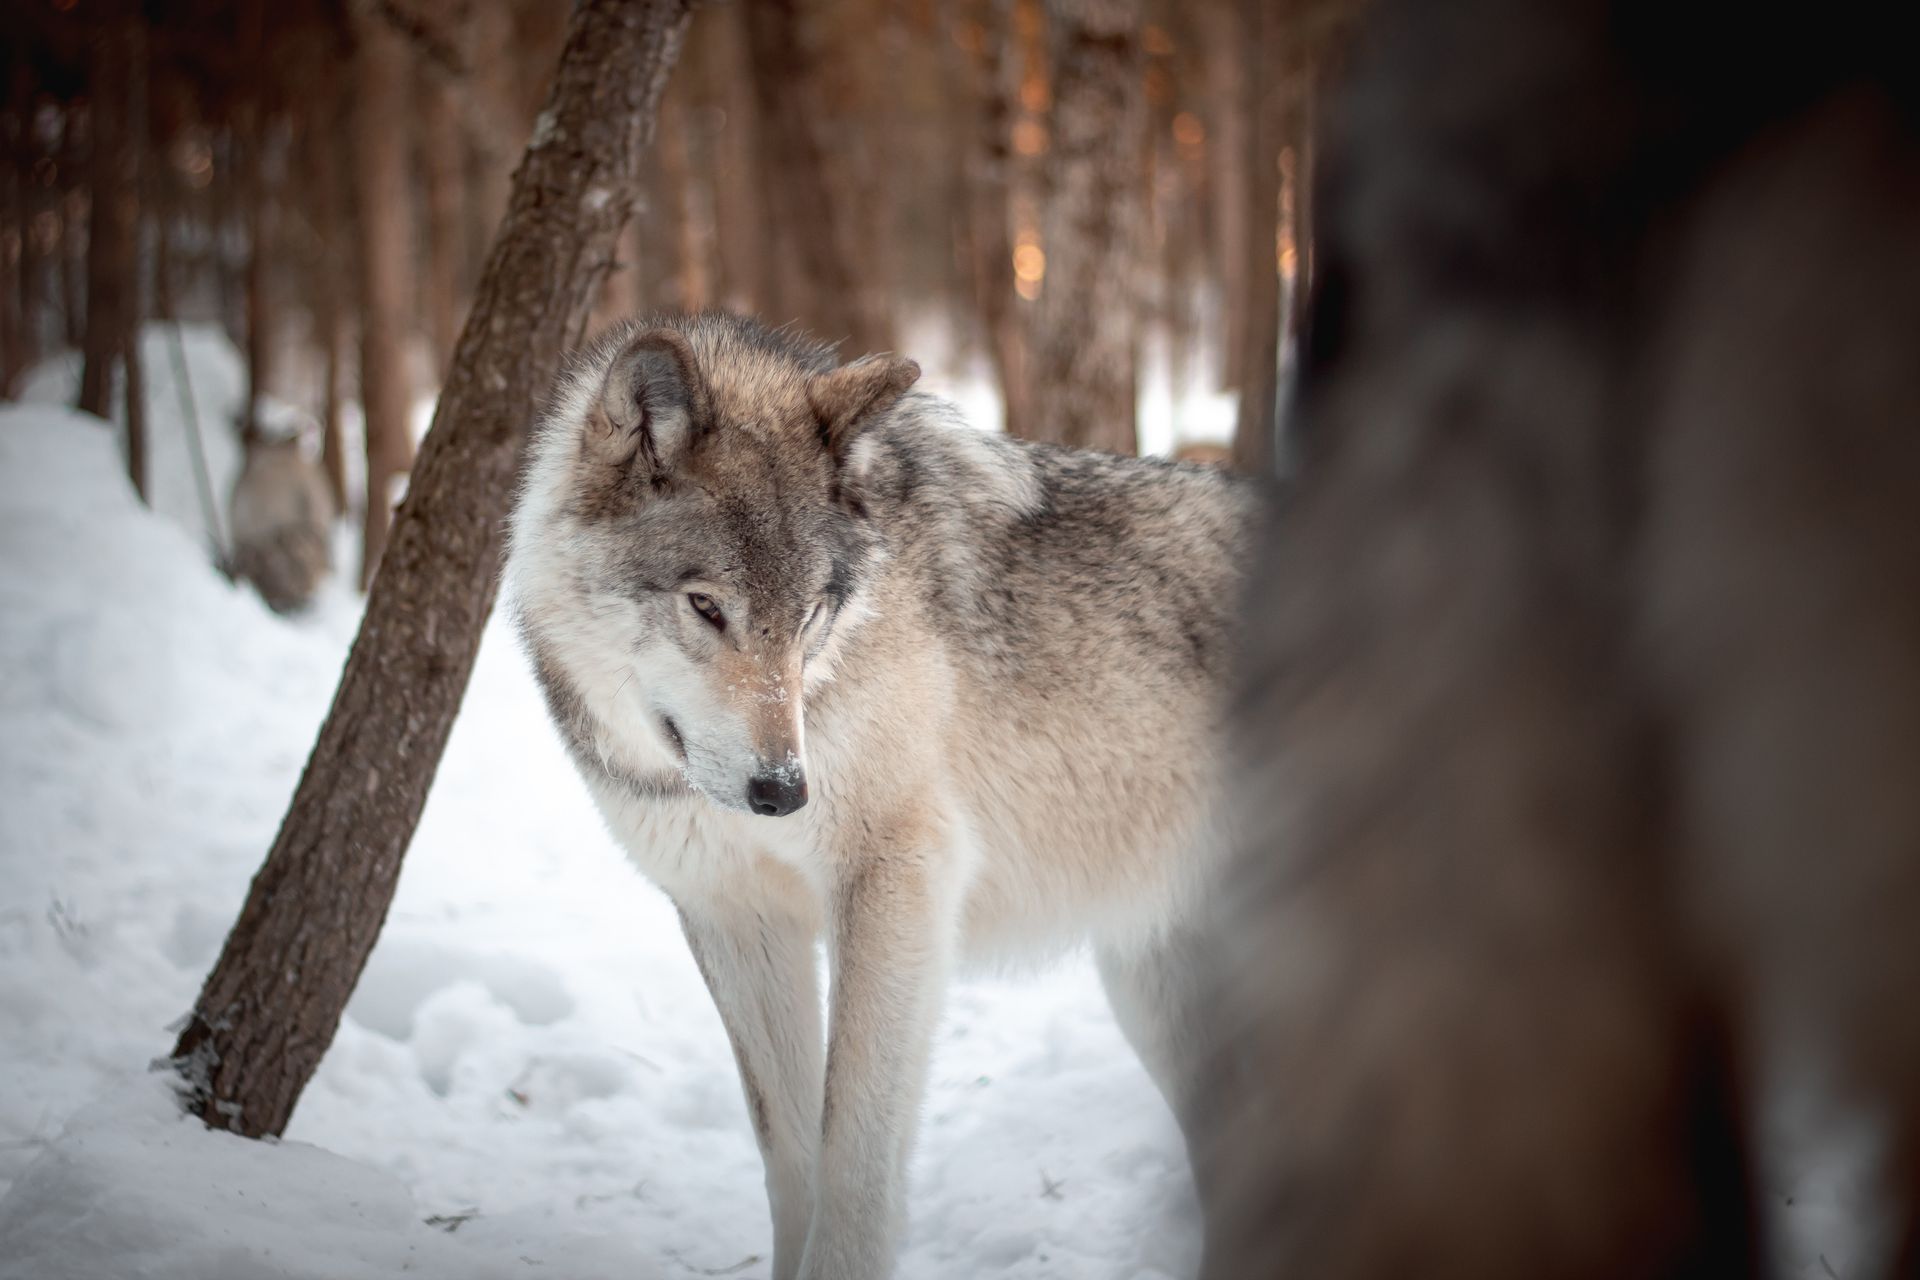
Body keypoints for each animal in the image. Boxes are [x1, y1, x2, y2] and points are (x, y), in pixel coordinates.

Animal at [510, 312, 1259, 1280]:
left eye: (808, 617)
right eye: (706, 606)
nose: (782, 791)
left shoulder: (897, 879)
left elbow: (853, 1155)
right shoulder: (734, 917)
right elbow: (790, 1157)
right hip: (1152, 985)